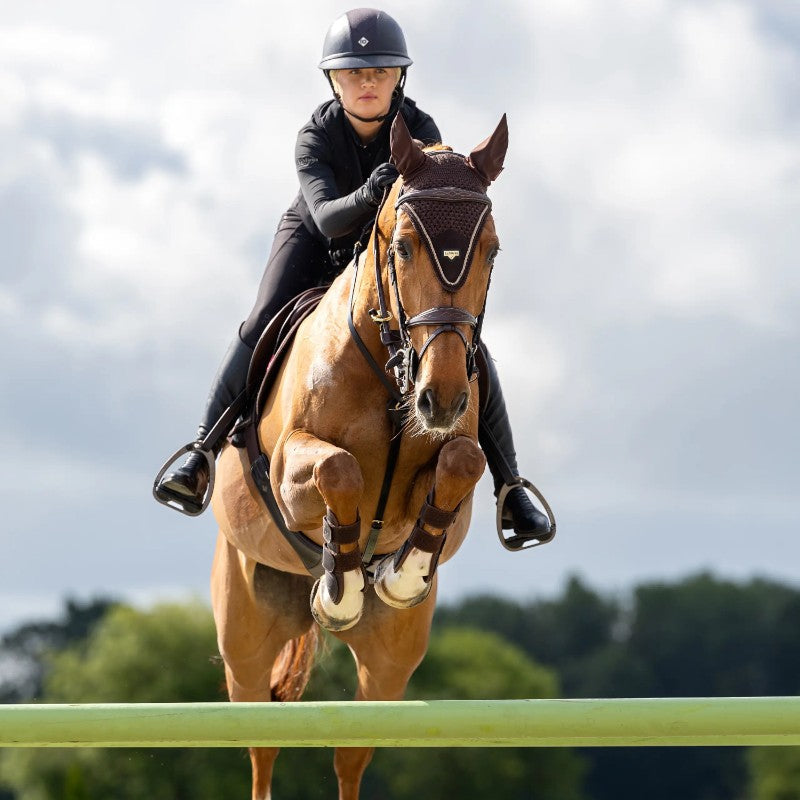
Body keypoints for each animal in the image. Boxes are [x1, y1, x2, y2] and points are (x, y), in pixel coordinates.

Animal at [209, 113, 508, 800]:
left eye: (492, 250)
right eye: (402, 248)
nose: (442, 396)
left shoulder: (453, 469)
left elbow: (462, 464)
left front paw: (400, 573)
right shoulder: (290, 471)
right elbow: (336, 468)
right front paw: (341, 586)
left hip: (392, 659)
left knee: (351, 752)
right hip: (245, 637)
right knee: (263, 742)